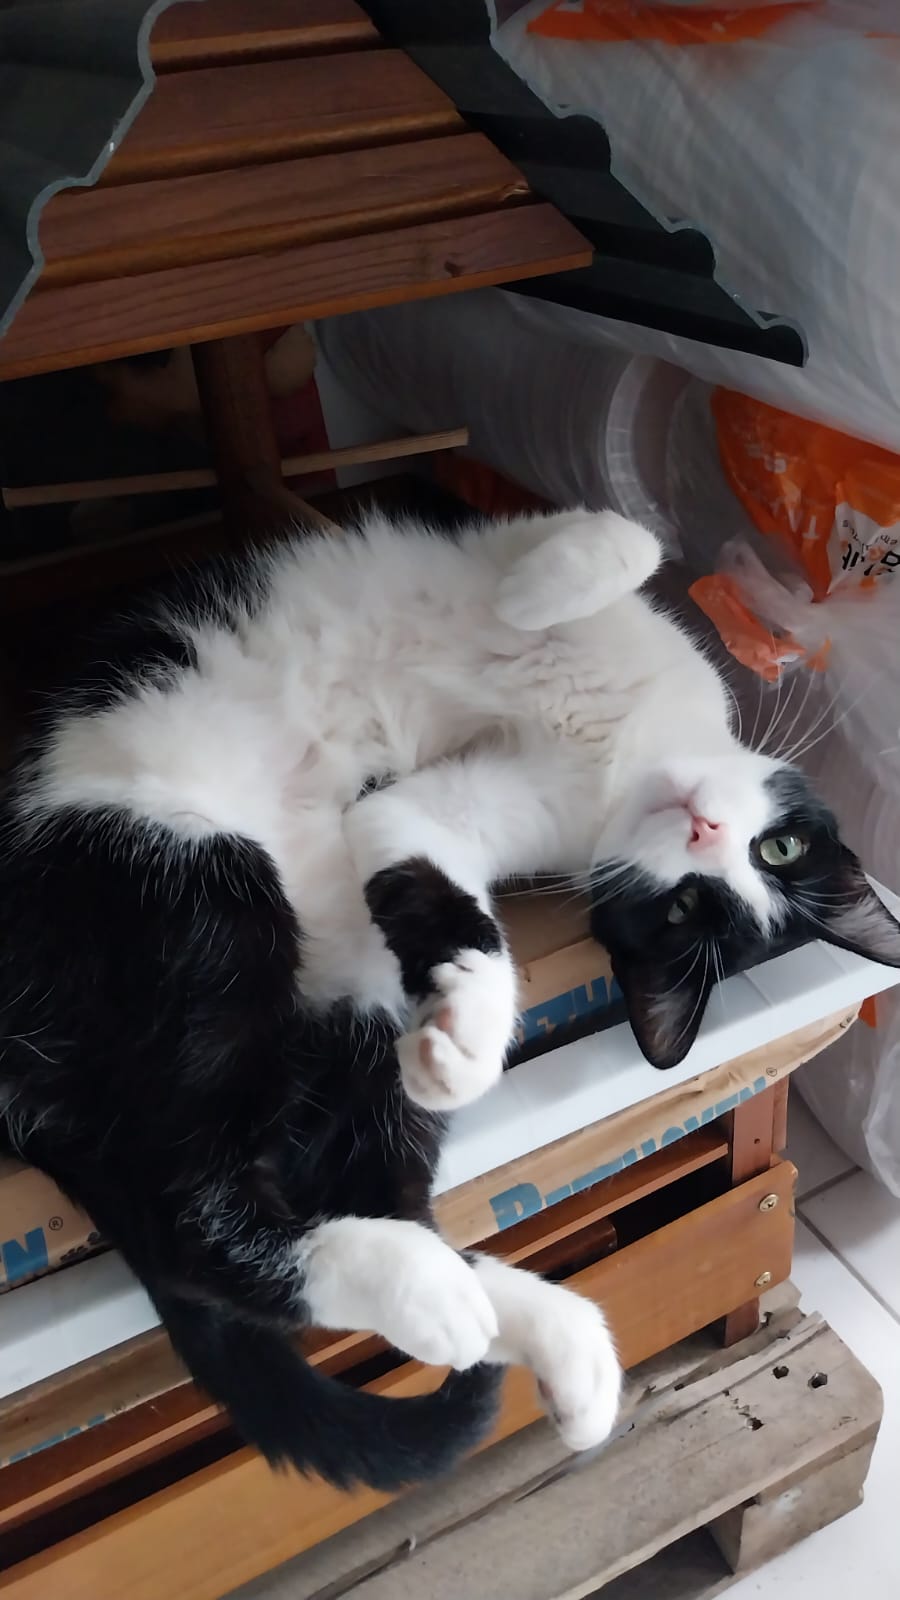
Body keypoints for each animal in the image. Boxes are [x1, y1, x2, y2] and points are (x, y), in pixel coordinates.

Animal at [1, 507, 898, 1492]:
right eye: (699, 899)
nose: (703, 826)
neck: (626, 752)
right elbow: (630, 539)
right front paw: (536, 591)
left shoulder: (465, 812)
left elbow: (419, 851)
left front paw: (464, 1040)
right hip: (182, 872)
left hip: (283, 969)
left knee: (231, 1205)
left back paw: (511, 1325)